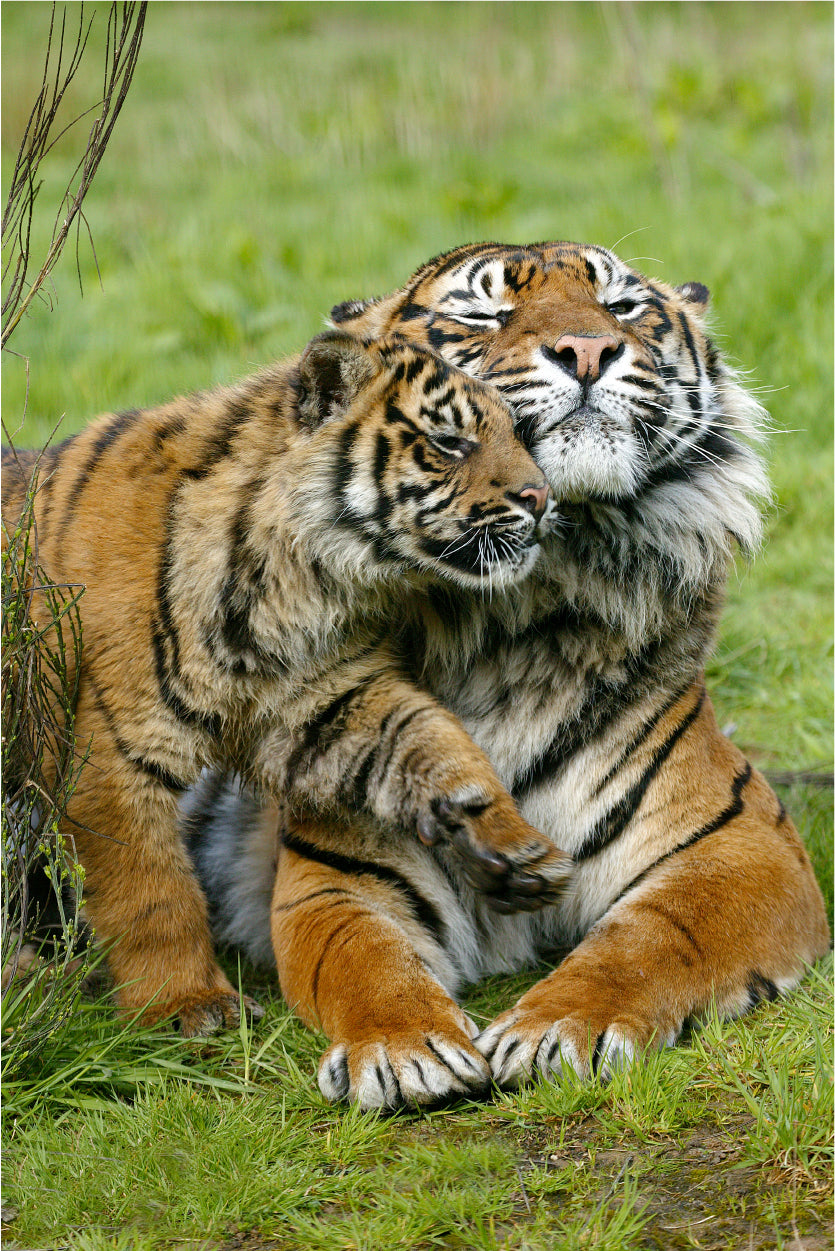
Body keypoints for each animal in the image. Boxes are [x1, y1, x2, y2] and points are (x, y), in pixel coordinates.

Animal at [1, 329, 575, 1039]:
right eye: (449, 443)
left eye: (518, 433)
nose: (543, 500)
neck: (297, 580)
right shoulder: (113, 754)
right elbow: (153, 895)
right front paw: (189, 1005)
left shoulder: (329, 700)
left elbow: (434, 741)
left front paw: (510, 845)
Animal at [187, 241, 829, 1110]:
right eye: (483, 313)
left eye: (622, 306)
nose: (587, 349)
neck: (514, 609)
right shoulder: (339, 875)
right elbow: (362, 961)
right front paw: (403, 1047)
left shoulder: (740, 846)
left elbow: (650, 939)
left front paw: (558, 1027)